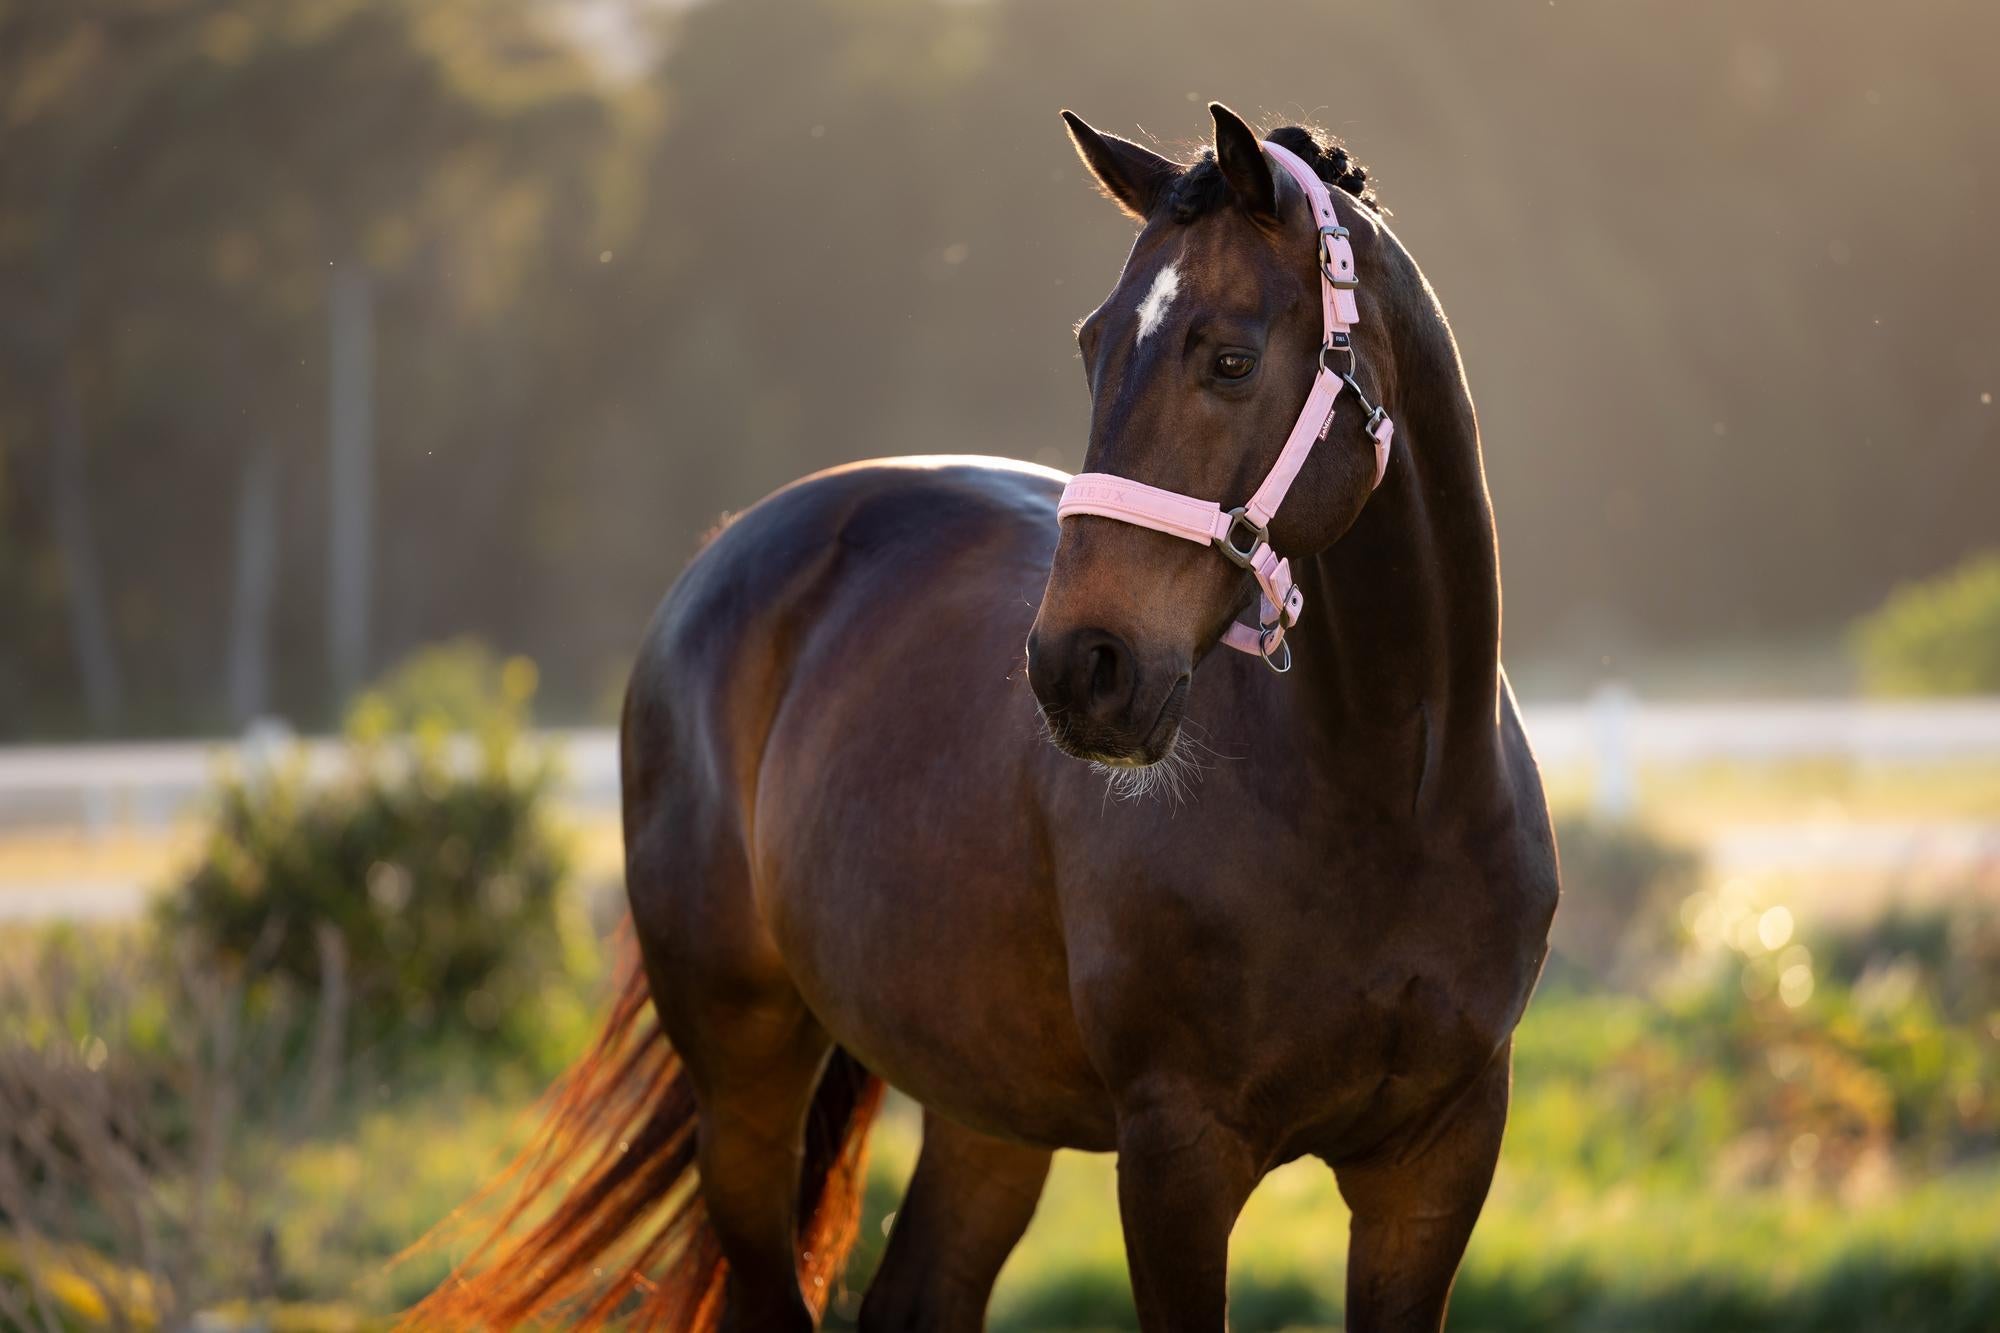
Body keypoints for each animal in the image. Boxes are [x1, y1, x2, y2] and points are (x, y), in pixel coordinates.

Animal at [404, 102, 1558, 1333]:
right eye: (1092, 345)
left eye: (1231, 357)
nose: (1081, 668)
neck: (1392, 791)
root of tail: (724, 554)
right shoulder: (1177, 1158)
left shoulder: (1435, 1161)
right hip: (745, 1086)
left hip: (986, 1104)